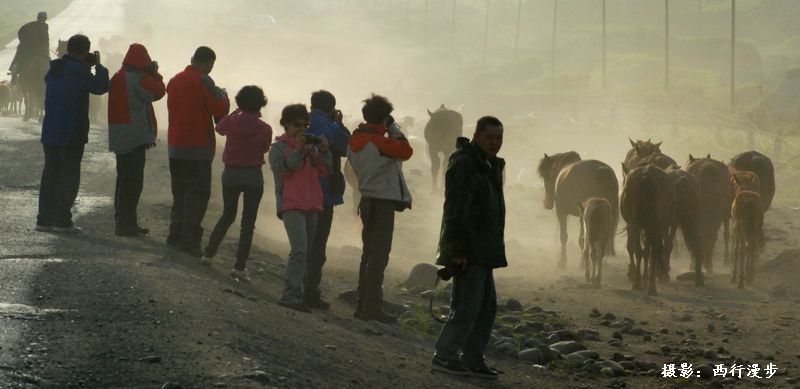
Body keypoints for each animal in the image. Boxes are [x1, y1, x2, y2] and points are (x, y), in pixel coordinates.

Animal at [620, 164, 676, 294]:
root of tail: (646, 176)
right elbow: (648, 251)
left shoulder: (637, 225)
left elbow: (640, 250)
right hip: (654, 225)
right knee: (654, 250)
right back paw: (652, 286)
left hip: (637, 224)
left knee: (640, 251)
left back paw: (639, 283)